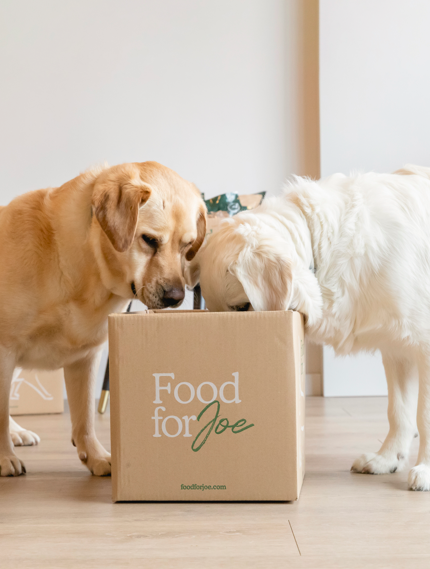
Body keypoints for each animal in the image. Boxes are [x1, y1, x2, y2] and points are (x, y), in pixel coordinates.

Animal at [0, 162, 205, 478]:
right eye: (149, 240)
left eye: (188, 246)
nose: (176, 297)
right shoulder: (5, 350)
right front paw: (3, 456)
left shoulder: (84, 357)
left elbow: (84, 418)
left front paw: (95, 456)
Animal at [188, 164, 430, 488]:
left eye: (242, 308)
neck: (319, 240)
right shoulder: (396, 347)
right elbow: (399, 411)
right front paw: (387, 459)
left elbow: (423, 416)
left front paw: (425, 470)